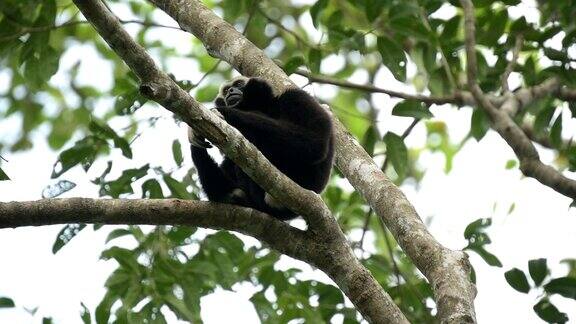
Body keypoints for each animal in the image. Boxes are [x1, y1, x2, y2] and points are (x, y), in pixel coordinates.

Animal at [189, 76, 332, 220]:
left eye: (238, 84)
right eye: (225, 91)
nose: (230, 91)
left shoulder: (296, 96)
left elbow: (315, 142)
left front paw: (221, 112)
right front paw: (194, 134)